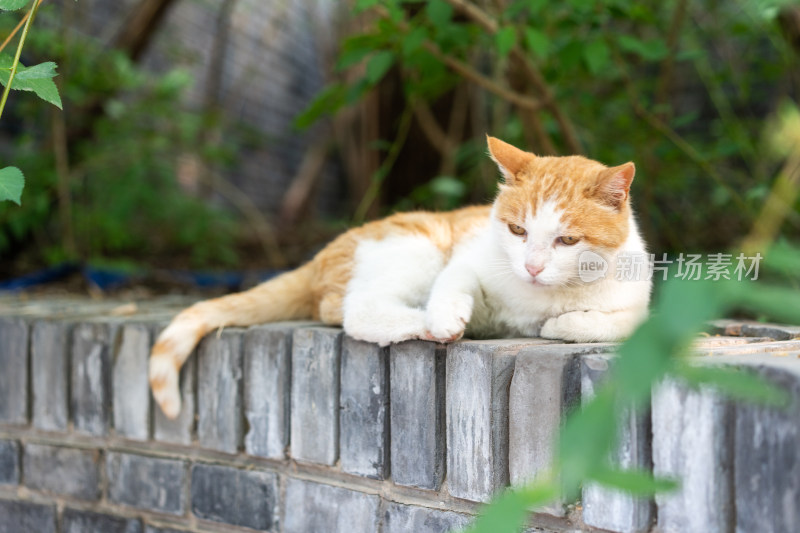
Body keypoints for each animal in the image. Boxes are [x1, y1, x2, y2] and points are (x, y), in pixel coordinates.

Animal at [148, 135, 648, 418]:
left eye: (566, 241)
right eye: (517, 231)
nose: (531, 266)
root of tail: (324, 252)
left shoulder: (642, 307)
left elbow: (610, 323)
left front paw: (562, 322)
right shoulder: (466, 259)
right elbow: (454, 283)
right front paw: (446, 318)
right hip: (417, 247)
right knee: (356, 310)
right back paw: (422, 323)